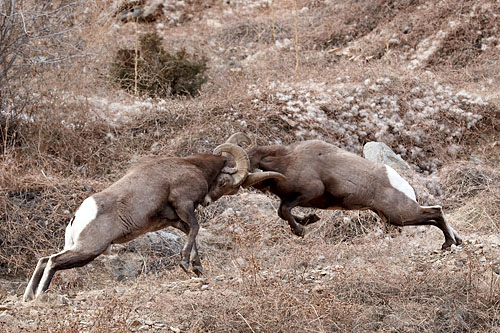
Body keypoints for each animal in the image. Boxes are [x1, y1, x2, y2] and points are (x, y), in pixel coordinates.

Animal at [23, 143, 286, 300]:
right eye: (226, 184)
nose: (209, 202)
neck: (192, 166)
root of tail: (81, 213)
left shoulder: (173, 220)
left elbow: (191, 233)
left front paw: (197, 269)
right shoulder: (184, 204)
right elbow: (196, 228)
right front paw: (186, 265)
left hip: (77, 247)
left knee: (44, 259)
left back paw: (28, 297)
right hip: (89, 250)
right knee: (53, 262)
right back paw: (40, 296)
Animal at [229, 132, 462, 249]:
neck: (287, 161)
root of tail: (400, 182)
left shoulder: (309, 192)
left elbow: (285, 211)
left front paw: (301, 230)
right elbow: (282, 212)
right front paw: (309, 221)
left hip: (399, 216)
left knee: (436, 212)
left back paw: (448, 244)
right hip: (393, 217)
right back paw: (455, 240)